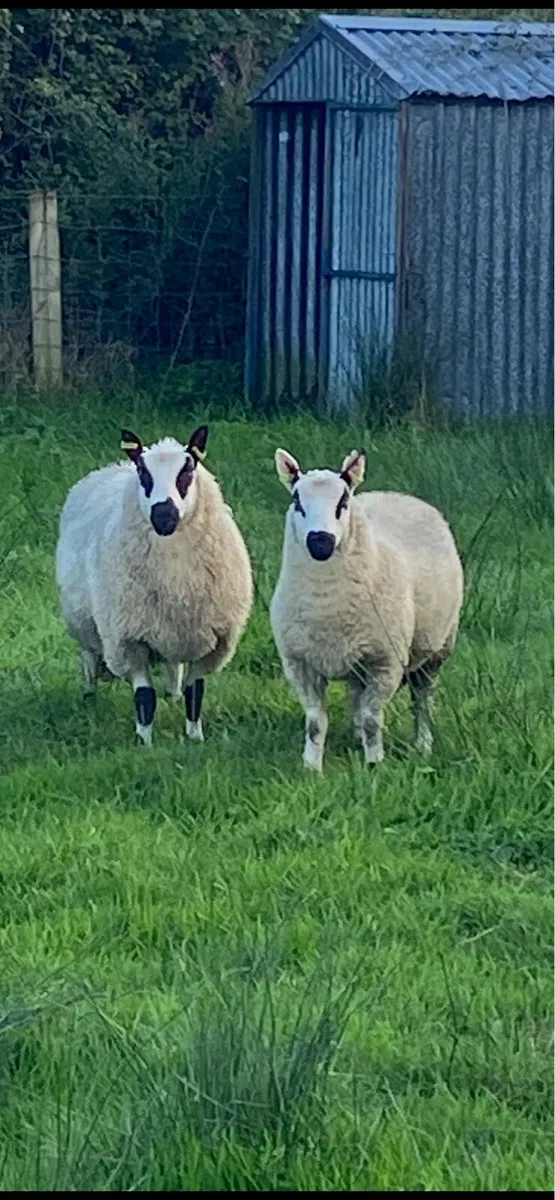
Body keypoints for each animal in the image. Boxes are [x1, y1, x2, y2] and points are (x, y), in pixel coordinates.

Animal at [55, 424, 253, 747]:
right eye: (143, 473)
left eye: (187, 470)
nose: (164, 515)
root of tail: (111, 467)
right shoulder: (128, 640)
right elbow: (145, 697)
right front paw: (143, 743)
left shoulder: (212, 640)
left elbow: (195, 693)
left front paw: (195, 738)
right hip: (84, 623)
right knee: (88, 658)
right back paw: (89, 697)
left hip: (172, 631)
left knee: (174, 668)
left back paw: (172, 694)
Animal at [269, 446, 464, 773]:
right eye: (297, 501)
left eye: (343, 501)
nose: (320, 542)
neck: (325, 601)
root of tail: (397, 494)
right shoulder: (299, 663)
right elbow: (315, 723)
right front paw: (312, 768)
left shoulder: (386, 662)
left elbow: (374, 720)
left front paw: (374, 764)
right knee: (358, 698)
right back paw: (356, 735)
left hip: (438, 647)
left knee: (423, 698)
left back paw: (423, 744)